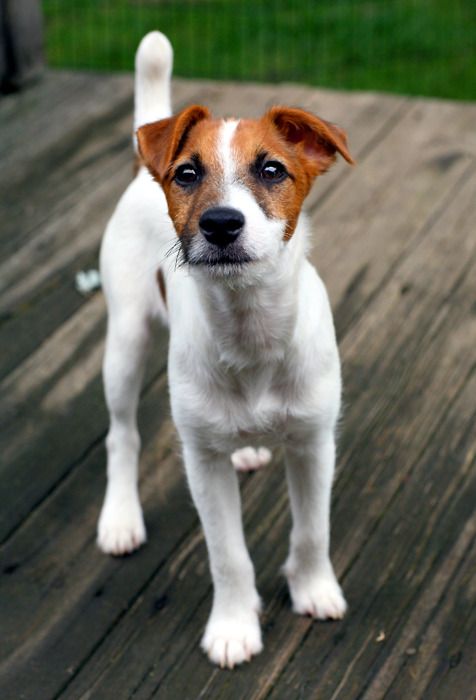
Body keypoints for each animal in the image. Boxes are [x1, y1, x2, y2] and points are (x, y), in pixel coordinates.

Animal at [97, 31, 354, 668]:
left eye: (272, 169)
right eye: (188, 174)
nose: (220, 224)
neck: (250, 328)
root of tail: (141, 170)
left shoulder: (315, 442)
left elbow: (312, 531)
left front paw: (315, 590)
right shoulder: (202, 462)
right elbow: (226, 553)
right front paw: (234, 627)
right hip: (125, 341)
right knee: (122, 435)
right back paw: (119, 519)